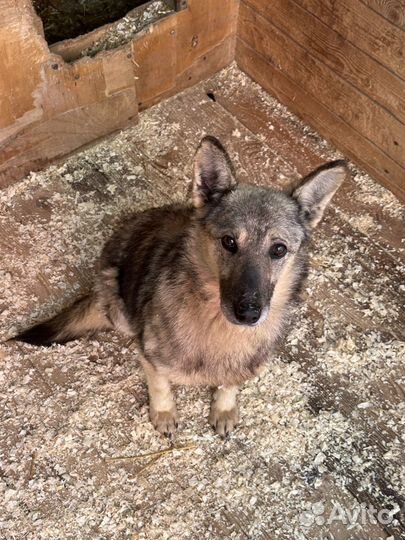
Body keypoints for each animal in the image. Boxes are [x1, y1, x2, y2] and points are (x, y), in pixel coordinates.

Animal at [14, 137, 346, 436]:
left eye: (278, 250)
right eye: (229, 242)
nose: (249, 313)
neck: (218, 325)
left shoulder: (241, 365)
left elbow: (230, 384)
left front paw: (224, 407)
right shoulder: (151, 357)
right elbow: (161, 386)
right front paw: (164, 414)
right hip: (118, 305)